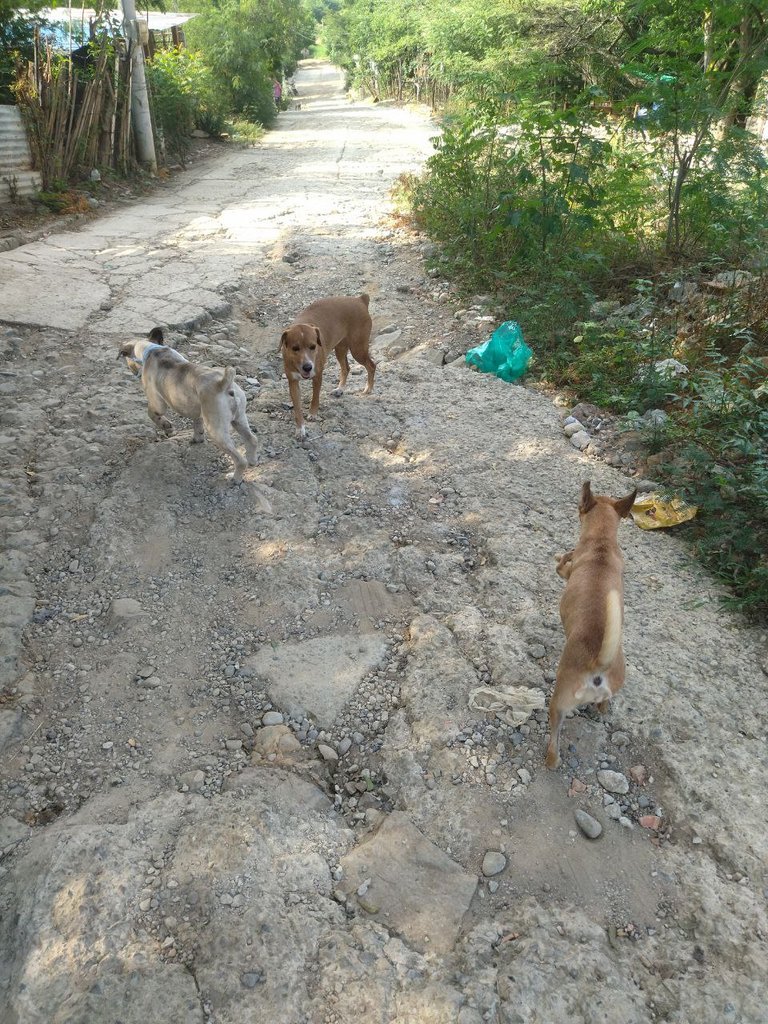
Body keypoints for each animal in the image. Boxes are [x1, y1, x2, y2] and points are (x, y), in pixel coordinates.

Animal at [282, 292, 378, 436]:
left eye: (313, 346)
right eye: (295, 348)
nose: (308, 367)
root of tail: (360, 299)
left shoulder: (317, 376)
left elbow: (315, 397)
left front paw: (313, 414)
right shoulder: (293, 382)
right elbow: (297, 408)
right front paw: (300, 429)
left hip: (358, 349)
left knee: (371, 365)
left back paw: (368, 389)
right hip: (340, 349)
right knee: (346, 368)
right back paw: (340, 389)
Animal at [544, 481, 638, 770]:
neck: (602, 545)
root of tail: (599, 665)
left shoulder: (564, 573)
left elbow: (562, 564)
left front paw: (565, 555)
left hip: (558, 704)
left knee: (554, 745)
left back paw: (550, 760)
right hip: (610, 689)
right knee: (605, 703)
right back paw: (602, 709)